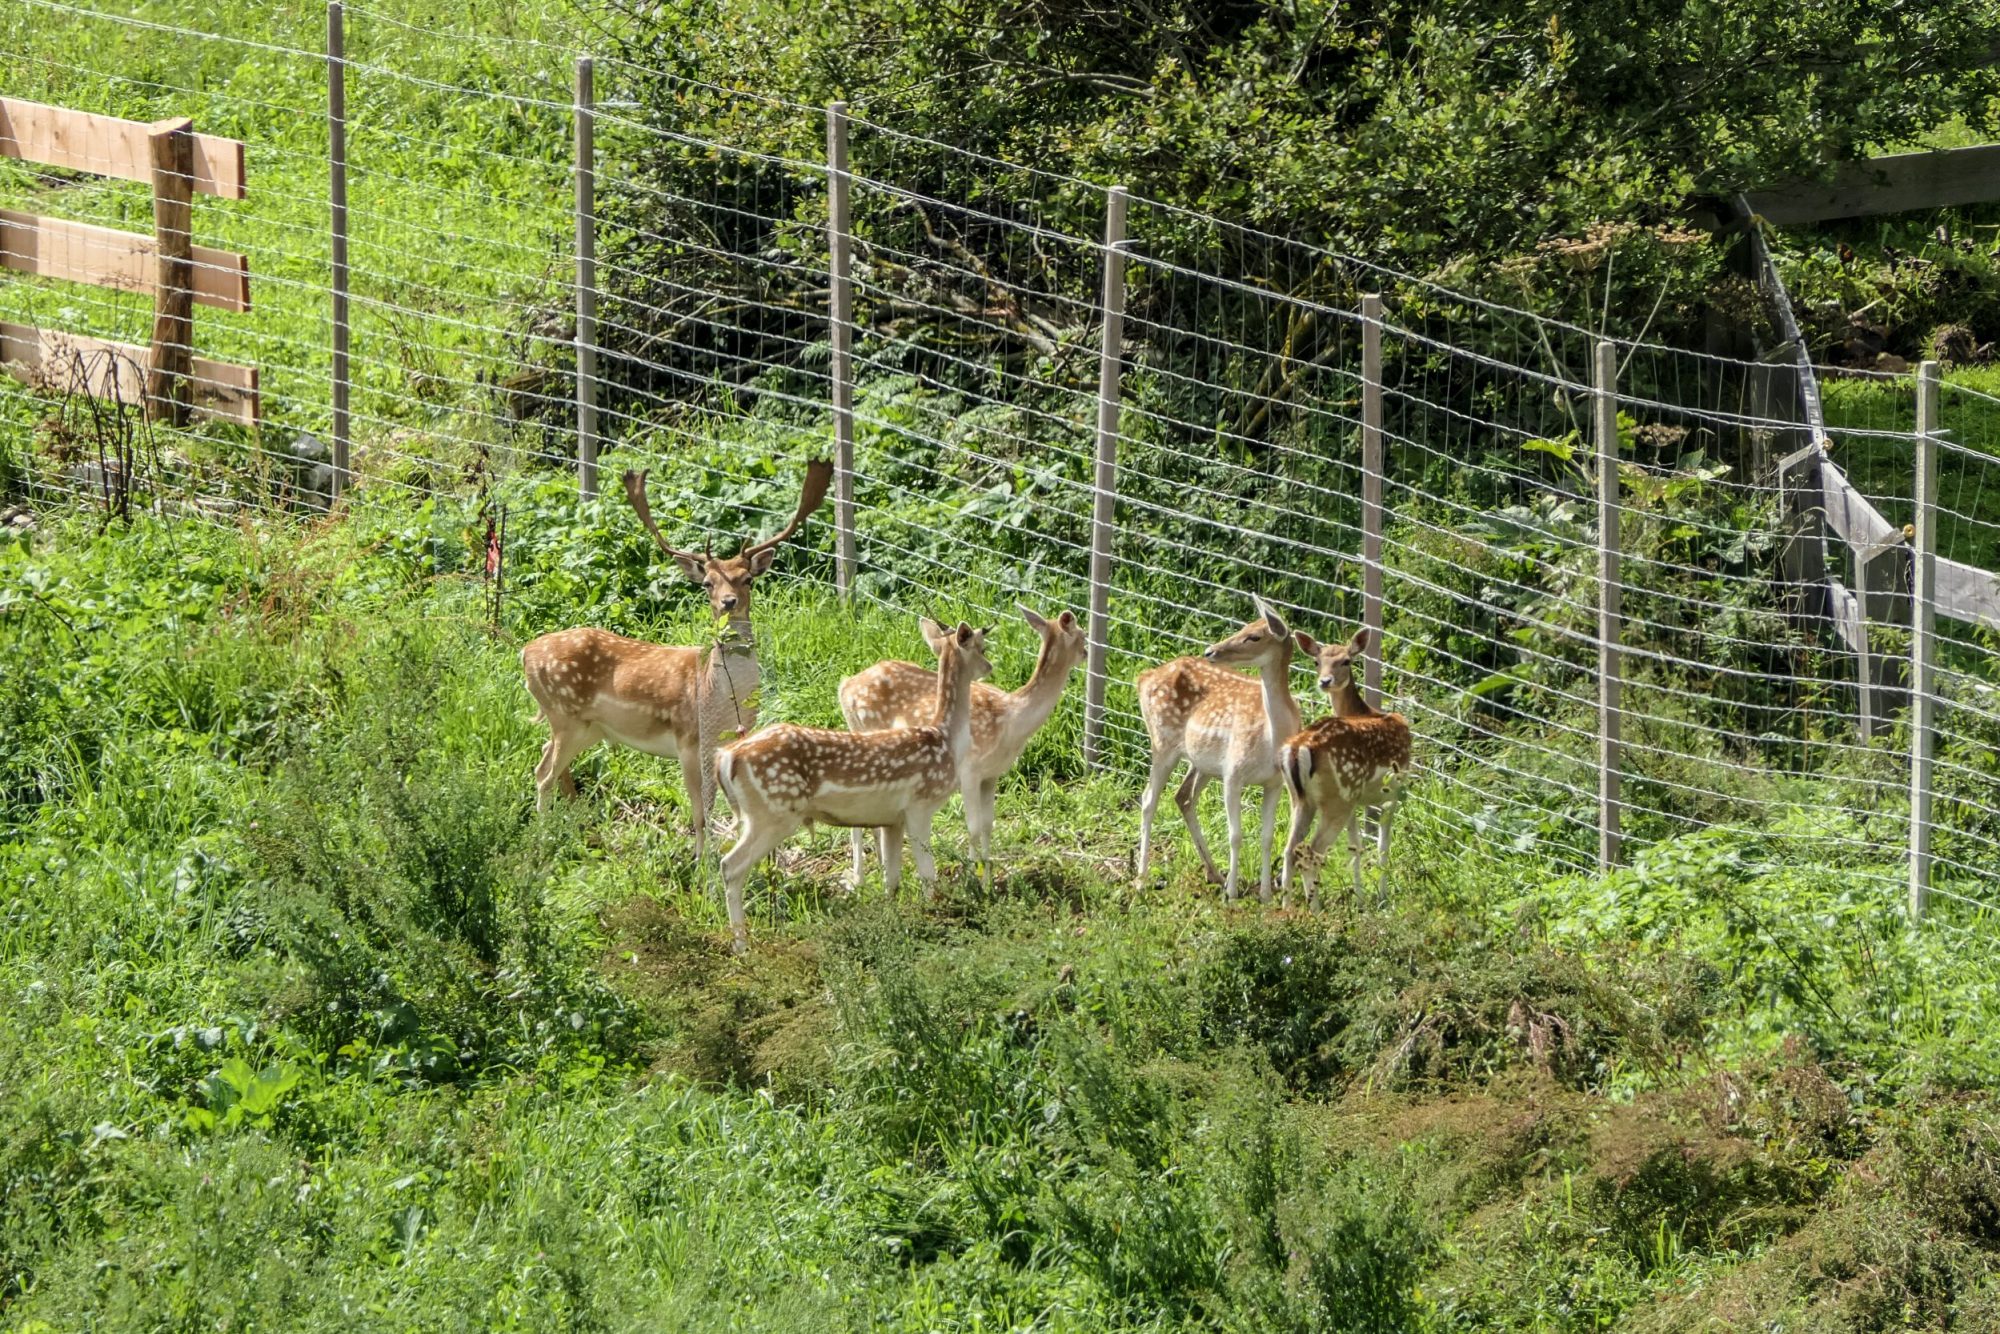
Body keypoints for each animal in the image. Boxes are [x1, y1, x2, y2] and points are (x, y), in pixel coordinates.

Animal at [520, 462, 832, 876]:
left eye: (748, 579)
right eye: (708, 583)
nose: (729, 602)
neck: (719, 696)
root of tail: (524, 652)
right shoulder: (687, 738)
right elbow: (700, 811)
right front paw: (700, 865)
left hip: (587, 727)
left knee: (548, 760)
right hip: (564, 714)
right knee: (543, 774)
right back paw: (544, 841)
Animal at [720, 624, 1000, 948]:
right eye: (981, 647)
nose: (989, 667)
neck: (945, 738)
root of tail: (727, 757)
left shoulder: (893, 819)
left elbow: (892, 879)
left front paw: (895, 920)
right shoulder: (920, 803)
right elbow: (927, 873)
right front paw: (934, 915)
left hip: (758, 816)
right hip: (773, 813)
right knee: (730, 866)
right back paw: (741, 945)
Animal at [844, 612, 1096, 892]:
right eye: (1082, 633)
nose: (1087, 652)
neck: (1011, 722)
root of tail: (844, 687)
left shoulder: (992, 774)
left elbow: (988, 825)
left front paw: (988, 881)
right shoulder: (969, 769)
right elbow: (973, 827)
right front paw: (972, 879)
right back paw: (860, 878)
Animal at [1136, 596, 1304, 904]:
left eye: (1254, 635)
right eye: (1244, 626)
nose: (1210, 650)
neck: (1271, 738)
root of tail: (1144, 677)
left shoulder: (1274, 782)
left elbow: (1266, 836)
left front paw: (1265, 895)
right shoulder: (1233, 774)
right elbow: (1235, 835)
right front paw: (1233, 894)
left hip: (1202, 762)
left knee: (1183, 796)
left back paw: (1214, 873)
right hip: (1162, 742)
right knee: (1149, 799)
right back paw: (1142, 879)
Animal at [1272, 628, 1416, 908]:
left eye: (1346, 661)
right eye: (1317, 662)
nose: (1325, 681)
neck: (1367, 712)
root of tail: (1298, 749)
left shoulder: (1356, 800)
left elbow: (1355, 846)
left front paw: (1360, 898)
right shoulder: (1392, 792)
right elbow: (1383, 845)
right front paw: (1382, 896)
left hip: (1303, 799)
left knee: (1290, 849)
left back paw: (1288, 908)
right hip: (1337, 797)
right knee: (1311, 850)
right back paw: (1314, 909)